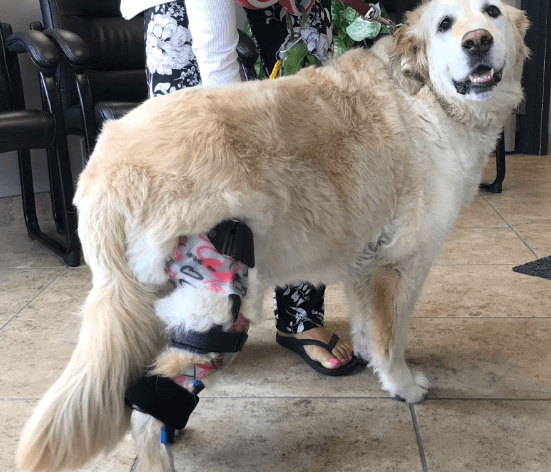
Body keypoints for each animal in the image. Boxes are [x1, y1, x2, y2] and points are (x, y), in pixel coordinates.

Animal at [17, 0, 528, 470]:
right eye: (445, 24)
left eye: (492, 12)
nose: (477, 42)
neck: (426, 96)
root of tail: (103, 164)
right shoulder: (399, 266)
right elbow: (392, 338)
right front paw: (402, 385)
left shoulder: (365, 262)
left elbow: (368, 326)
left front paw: (366, 355)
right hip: (219, 296)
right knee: (148, 407)